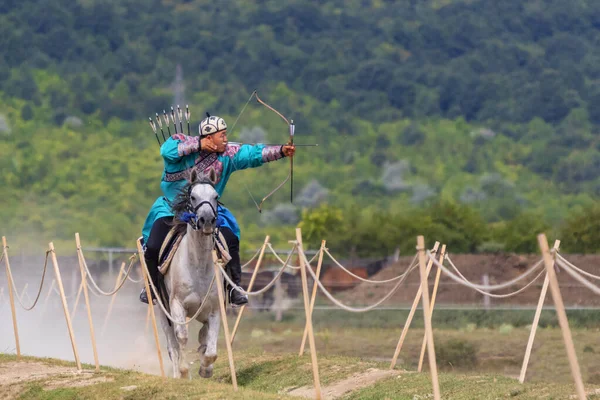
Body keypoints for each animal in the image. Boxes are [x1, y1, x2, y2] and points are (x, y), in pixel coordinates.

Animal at [159, 169, 223, 378]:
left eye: (215, 196)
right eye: (193, 197)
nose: (207, 220)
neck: (198, 266)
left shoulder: (214, 309)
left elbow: (211, 349)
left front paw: (205, 368)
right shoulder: (177, 306)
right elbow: (182, 337)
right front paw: (185, 370)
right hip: (162, 311)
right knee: (172, 344)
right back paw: (177, 374)